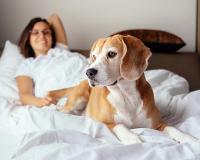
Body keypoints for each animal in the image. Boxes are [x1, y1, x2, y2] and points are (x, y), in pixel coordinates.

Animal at [48, 34, 198, 144]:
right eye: (94, 57)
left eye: (111, 54)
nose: (89, 72)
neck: (125, 94)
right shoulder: (105, 123)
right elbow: (120, 126)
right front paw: (132, 137)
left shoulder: (158, 124)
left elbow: (173, 129)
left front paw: (188, 138)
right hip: (78, 99)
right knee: (63, 110)